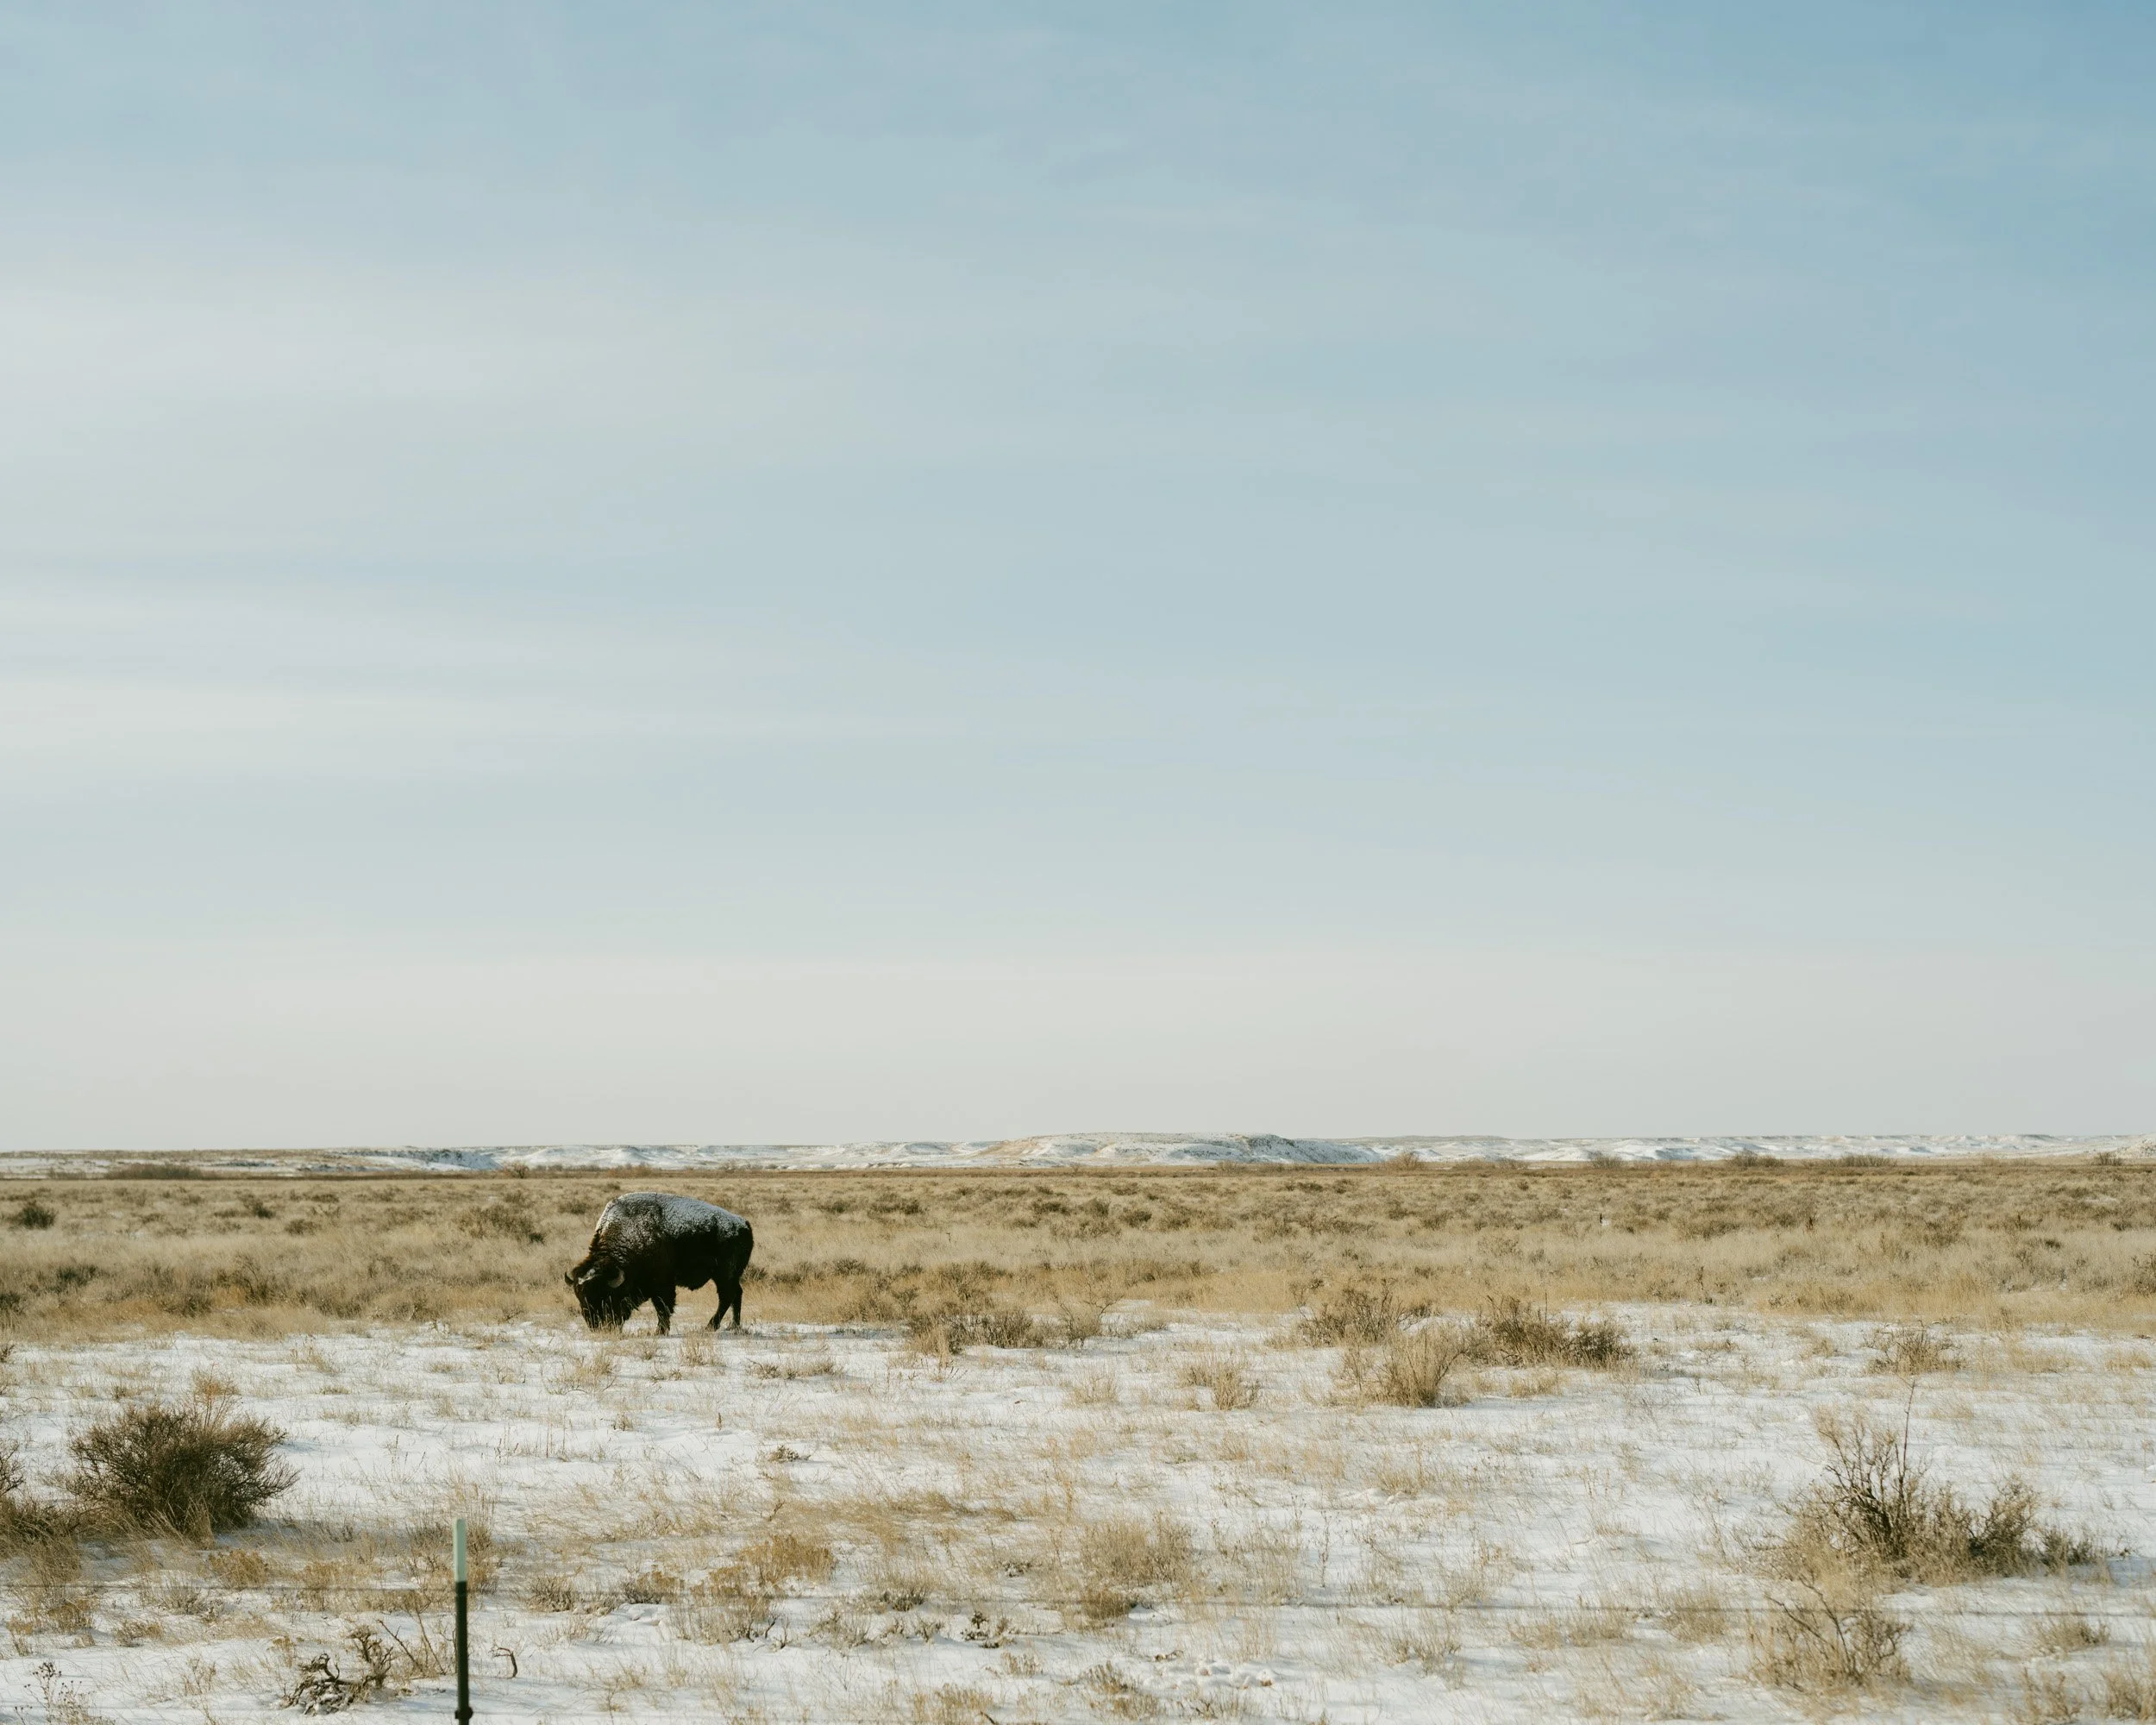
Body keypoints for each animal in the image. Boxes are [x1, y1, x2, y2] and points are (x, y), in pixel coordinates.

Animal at [564, 1192, 753, 1334]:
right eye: (580, 1298)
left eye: (606, 1297)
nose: (596, 1326)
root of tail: (743, 1224)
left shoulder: (662, 1285)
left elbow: (663, 1308)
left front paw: (659, 1331)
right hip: (730, 1276)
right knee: (736, 1294)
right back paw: (733, 1326)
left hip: (724, 1275)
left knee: (727, 1296)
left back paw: (710, 1327)